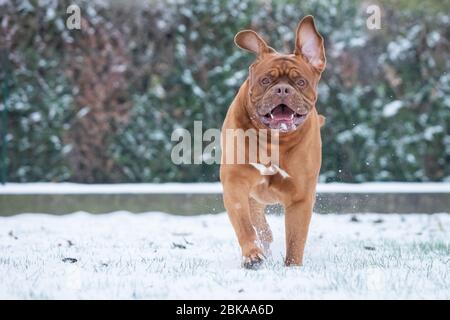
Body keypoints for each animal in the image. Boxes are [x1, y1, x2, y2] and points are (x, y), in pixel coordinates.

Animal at [220, 16, 326, 268]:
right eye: (265, 80)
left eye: (300, 82)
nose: (283, 89)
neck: (274, 140)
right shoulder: (235, 184)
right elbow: (245, 225)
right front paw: (252, 255)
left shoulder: (301, 196)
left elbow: (296, 237)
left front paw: (293, 267)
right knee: (260, 225)